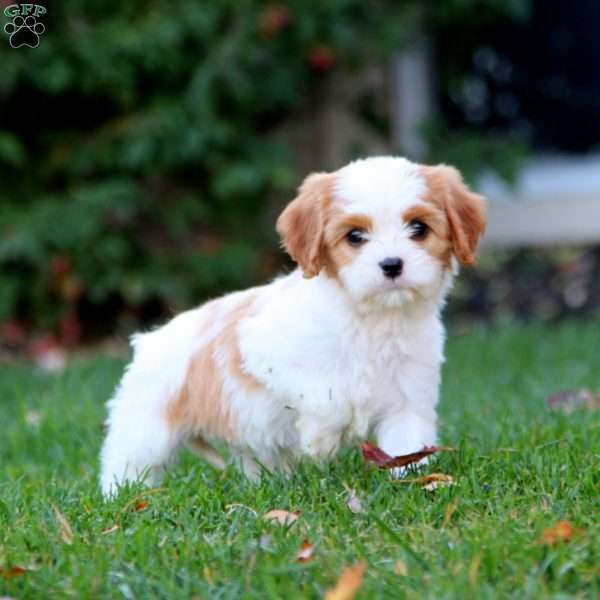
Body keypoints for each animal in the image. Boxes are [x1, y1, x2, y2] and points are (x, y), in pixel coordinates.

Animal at [101, 156, 486, 496]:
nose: (392, 264)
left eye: (419, 228)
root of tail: (149, 339)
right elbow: (325, 396)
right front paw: (322, 440)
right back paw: (119, 498)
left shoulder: (408, 401)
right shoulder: (264, 356)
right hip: (146, 429)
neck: (374, 319)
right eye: (355, 236)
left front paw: (413, 481)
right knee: (127, 463)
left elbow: (406, 445)